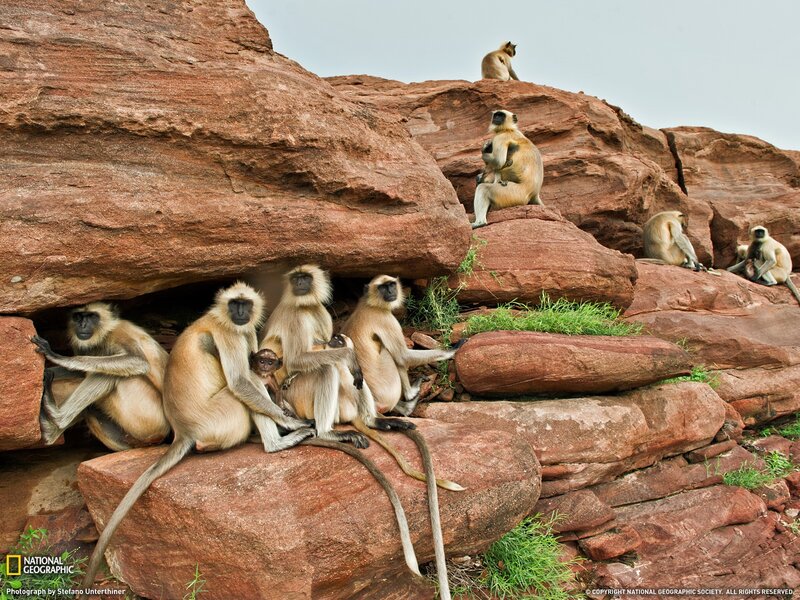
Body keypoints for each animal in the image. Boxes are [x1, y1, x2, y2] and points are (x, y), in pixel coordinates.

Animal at [30, 303, 170, 451]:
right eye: (78, 316)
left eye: (92, 316)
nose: (82, 325)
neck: (104, 335)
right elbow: (81, 373)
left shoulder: (120, 331)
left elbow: (139, 361)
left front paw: (58, 357)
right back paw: (48, 430)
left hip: (147, 417)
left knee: (109, 374)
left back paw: (58, 417)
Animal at [81, 282, 314, 592]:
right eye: (234, 304)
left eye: (246, 304)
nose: (241, 313)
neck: (224, 319)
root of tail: (183, 431)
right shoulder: (229, 334)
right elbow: (242, 381)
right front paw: (288, 420)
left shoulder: (245, 332)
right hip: (221, 418)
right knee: (245, 384)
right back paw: (276, 444)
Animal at [249, 345, 421, 577]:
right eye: (262, 361)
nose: (265, 365)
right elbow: (298, 361)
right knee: (327, 368)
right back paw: (320, 432)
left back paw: (374, 420)